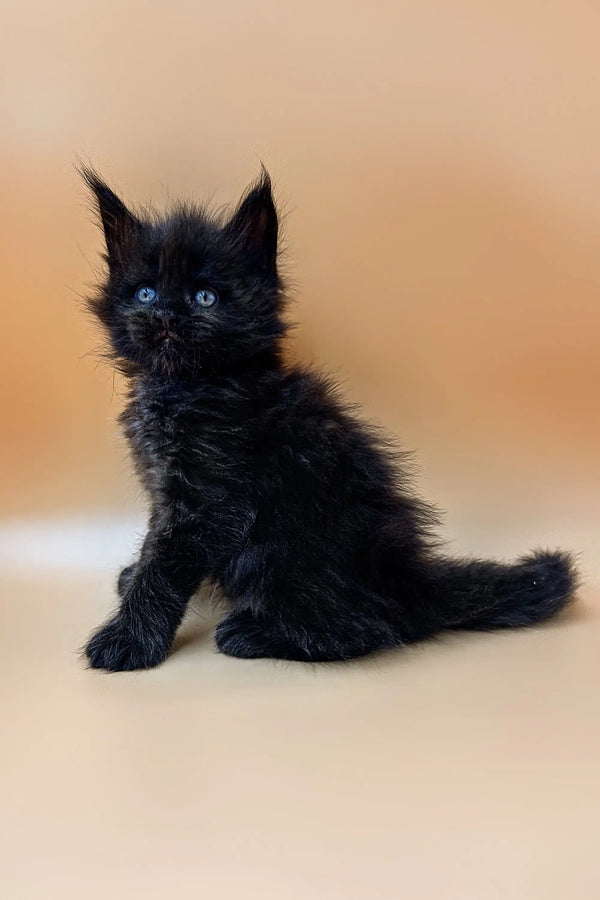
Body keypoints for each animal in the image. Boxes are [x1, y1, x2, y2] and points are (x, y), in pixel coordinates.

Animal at [79, 167, 576, 668]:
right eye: (145, 292)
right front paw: (132, 579)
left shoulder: (210, 500)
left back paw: (252, 632)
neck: (184, 386)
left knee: (367, 628)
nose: (165, 315)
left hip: (281, 547)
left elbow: (162, 572)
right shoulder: (166, 492)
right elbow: (153, 547)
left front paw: (128, 641)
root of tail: (411, 581)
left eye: (205, 297)